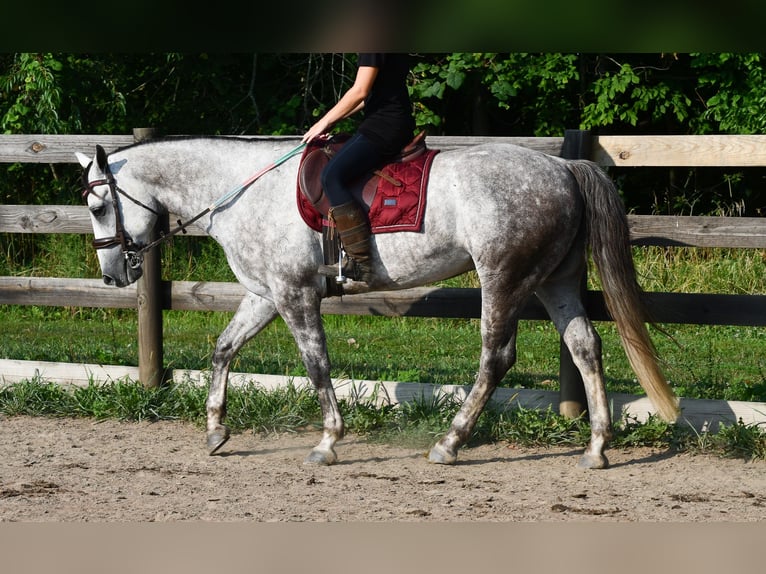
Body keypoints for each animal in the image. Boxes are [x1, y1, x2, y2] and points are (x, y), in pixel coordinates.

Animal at [76, 135, 679, 469]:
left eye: (100, 205)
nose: (112, 274)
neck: (243, 189)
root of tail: (564, 169)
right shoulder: (266, 294)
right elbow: (223, 349)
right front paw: (216, 431)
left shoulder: (295, 294)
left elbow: (317, 365)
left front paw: (327, 442)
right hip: (555, 280)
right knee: (586, 347)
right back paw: (596, 449)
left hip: (505, 277)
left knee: (496, 357)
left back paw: (449, 443)